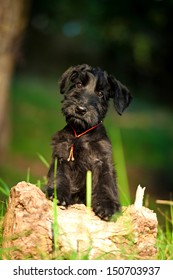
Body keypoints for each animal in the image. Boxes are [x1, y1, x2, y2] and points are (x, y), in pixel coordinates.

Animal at [45, 64, 132, 220]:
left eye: (101, 94)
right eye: (78, 84)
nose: (80, 109)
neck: (80, 134)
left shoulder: (102, 160)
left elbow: (106, 181)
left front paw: (107, 204)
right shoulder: (61, 155)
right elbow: (59, 174)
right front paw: (57, 192)